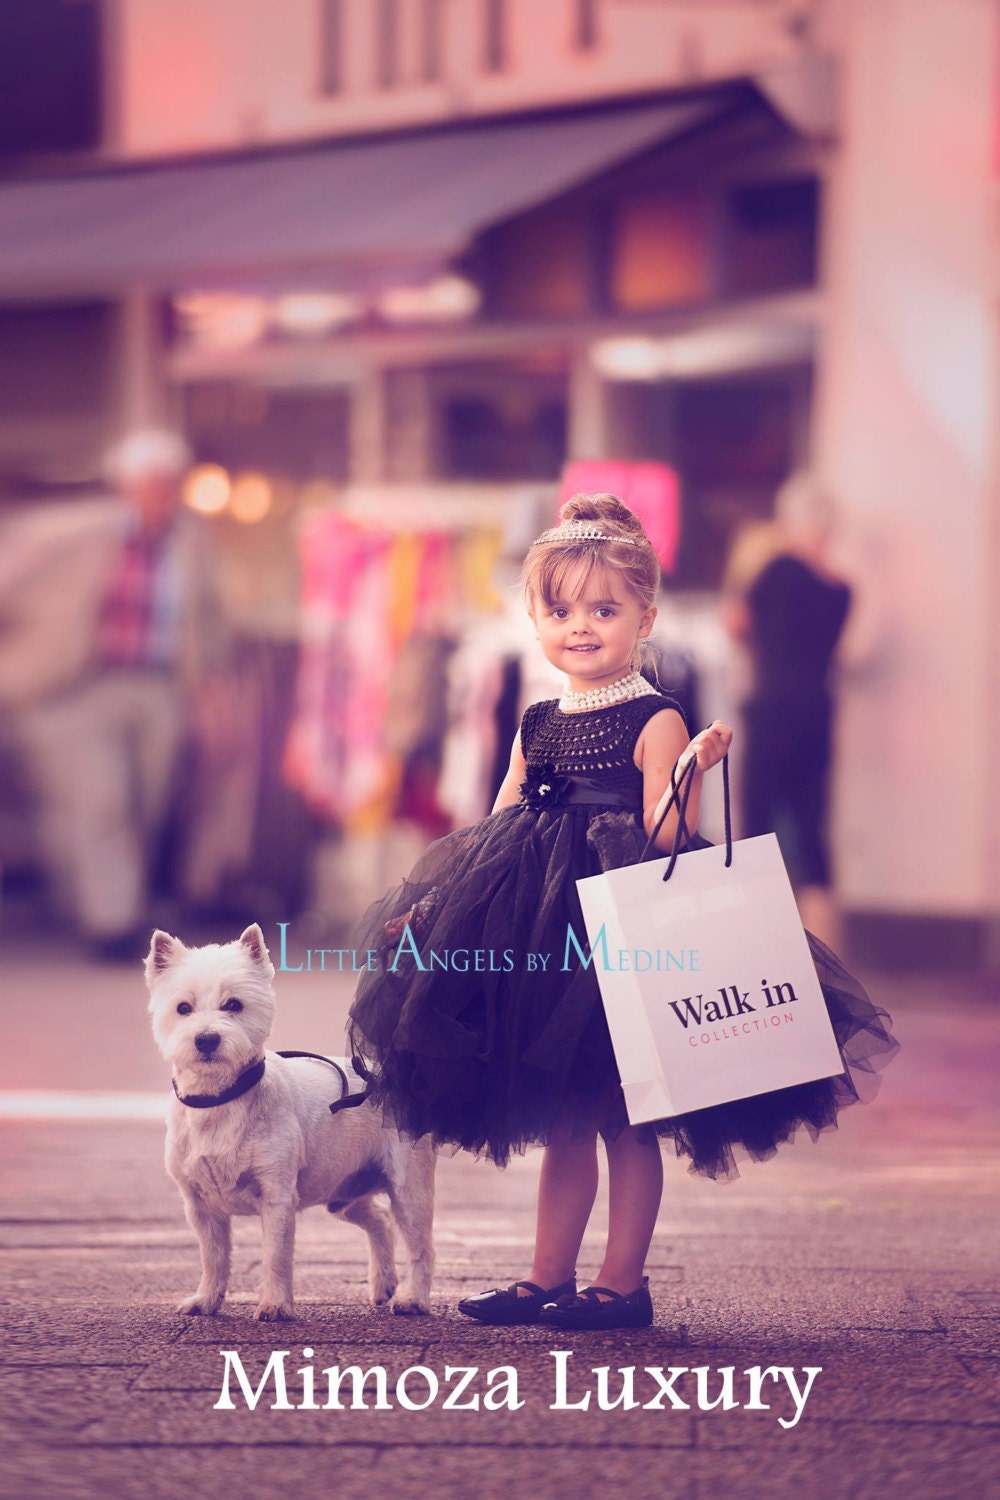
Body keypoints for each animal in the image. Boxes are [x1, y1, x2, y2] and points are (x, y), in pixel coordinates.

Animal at [146, 918, 434, 1320]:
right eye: (182, 1008)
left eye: (233, 1005)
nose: (206, 1040)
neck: (220, 1099)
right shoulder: (200, 1205)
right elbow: (213, 1257)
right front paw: (205, 1300)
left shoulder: (277, 1197)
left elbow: (276, 1256)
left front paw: (275, 1304)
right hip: (345, 1192)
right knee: (379, 1219)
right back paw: (383, 1285)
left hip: (408, 1187)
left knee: (419, 1243)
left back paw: (413, 1298)